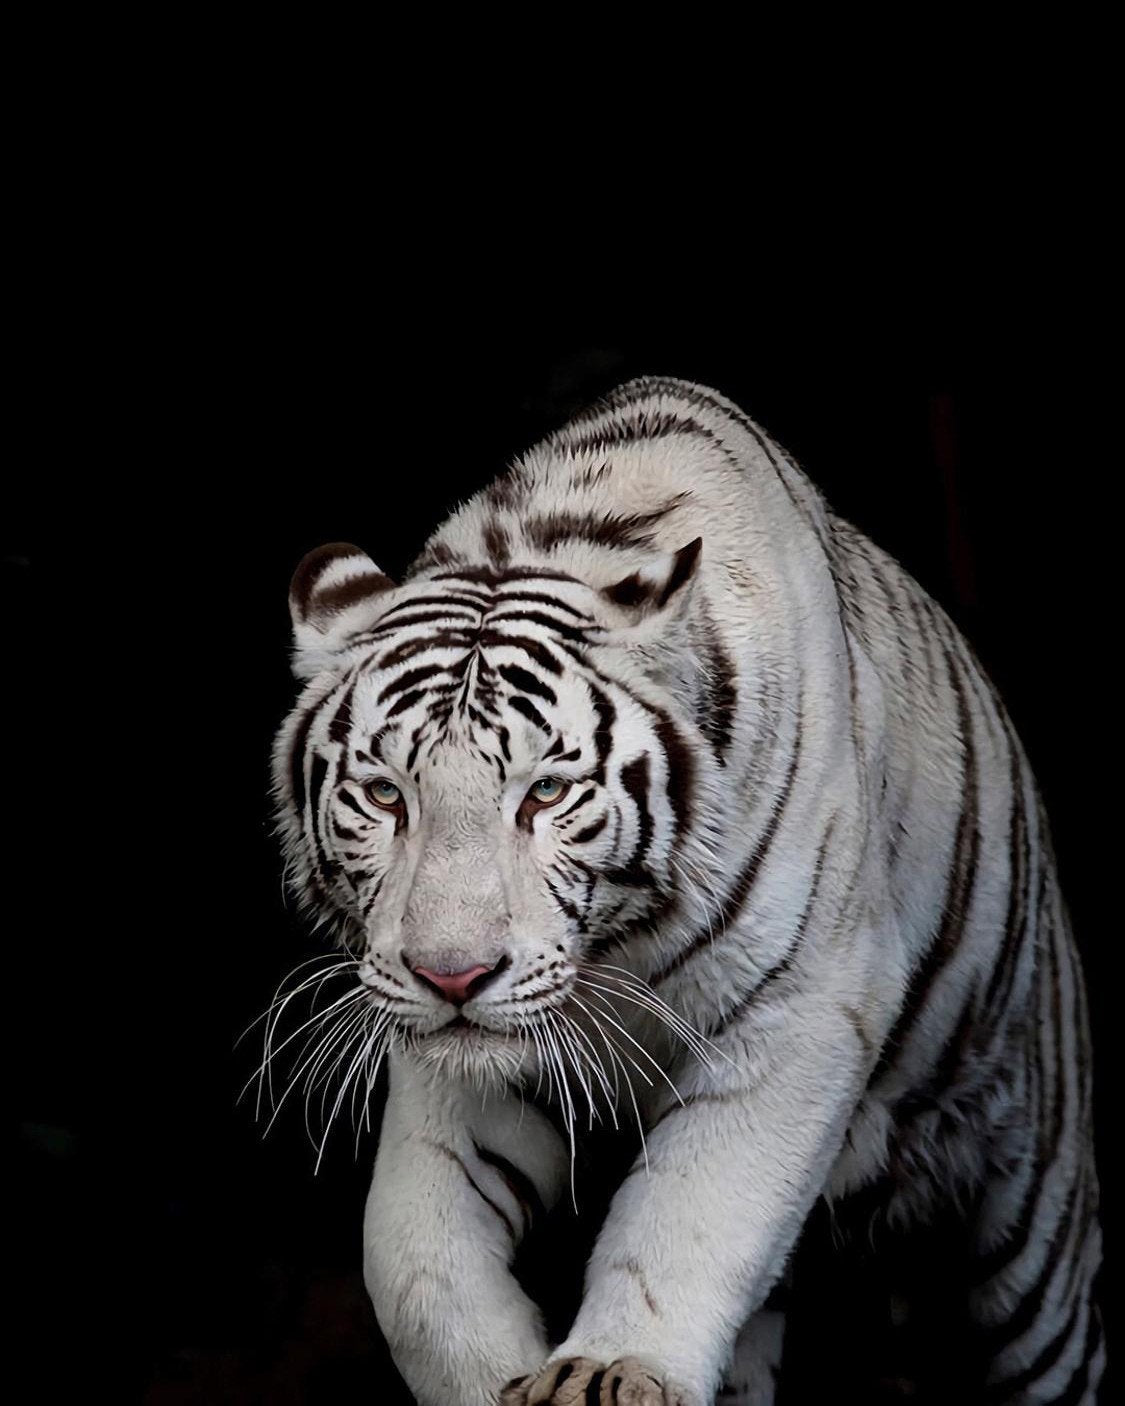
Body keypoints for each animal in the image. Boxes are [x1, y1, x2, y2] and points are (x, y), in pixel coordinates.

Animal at [270, 376, 1096, 1406]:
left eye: (545, 793)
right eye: (385, 794)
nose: (452, 976)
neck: (619, 946)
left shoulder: (801, 1012)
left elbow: (688, 1218)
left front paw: (610, 1371)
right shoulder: (452, 1064)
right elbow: (415, 1258)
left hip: (1025, 1237)